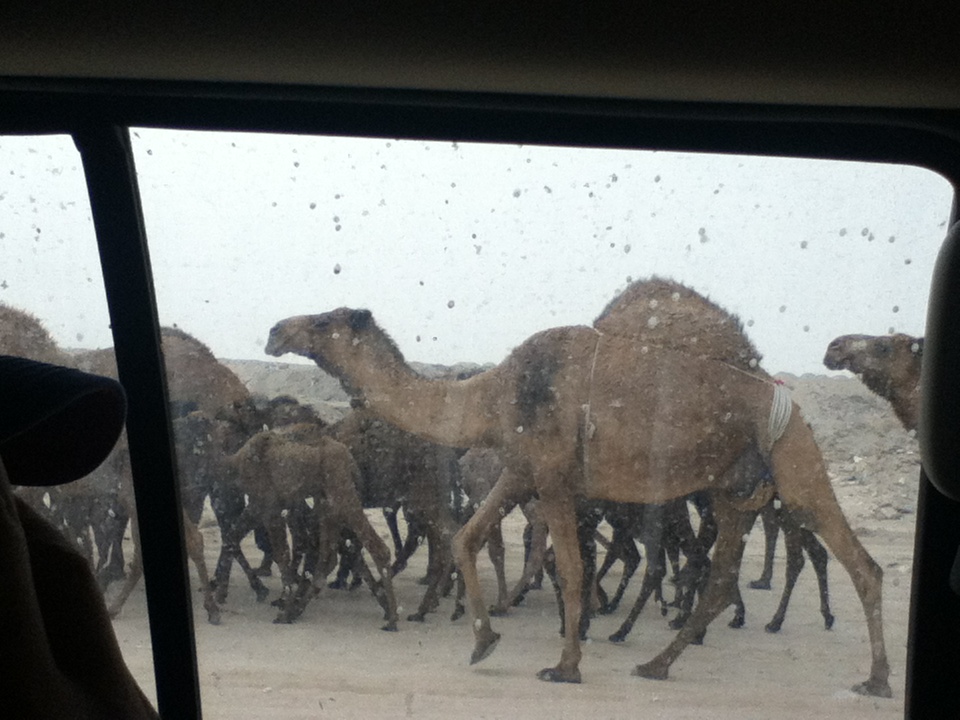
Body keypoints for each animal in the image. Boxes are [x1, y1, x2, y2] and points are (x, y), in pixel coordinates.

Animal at [264, 296, 890, 697]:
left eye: (321, 321)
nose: (274, 332)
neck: (492, 393)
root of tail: (789, 398)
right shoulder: (522, 468)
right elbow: (467, 536)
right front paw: (484, 640)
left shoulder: (554, 477)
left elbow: (567, 567)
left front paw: (565, 665)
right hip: (733, 488)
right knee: (718, 579)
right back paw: (655, 664)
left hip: (794, 459)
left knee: (862, 564)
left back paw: (876, 679)